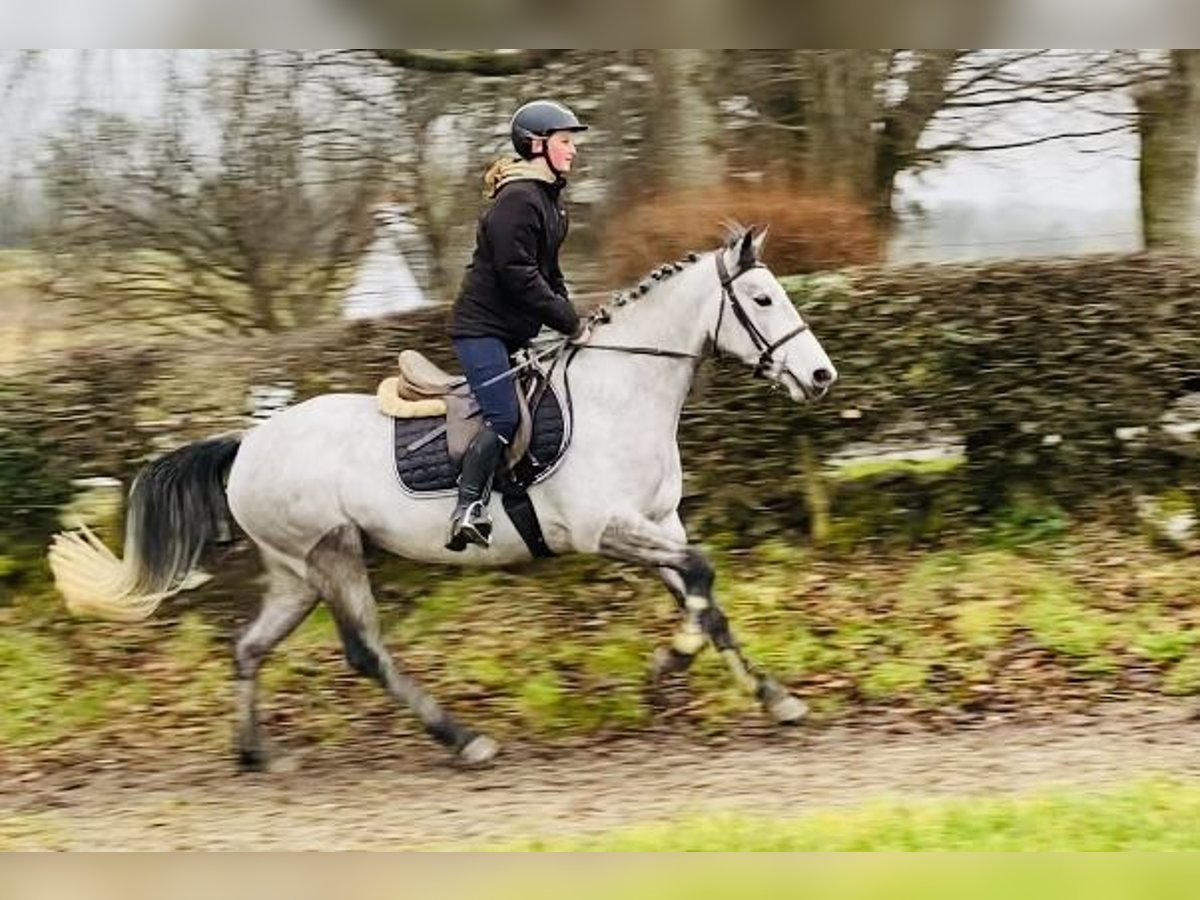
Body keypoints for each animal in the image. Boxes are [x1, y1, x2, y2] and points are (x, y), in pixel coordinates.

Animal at [51, 225, 840, 768]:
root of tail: (247, 443)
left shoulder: (657, 522)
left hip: (294, 572)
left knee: (249, 648)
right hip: (332, 554)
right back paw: (463, 740)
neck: (623, 391)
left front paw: (768, 695)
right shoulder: (605, 529)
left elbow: (704, 597)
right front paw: (671, 667)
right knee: (365, 652)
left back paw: (256, 754)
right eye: (763, 298)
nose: (821, 376)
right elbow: (702, 574)